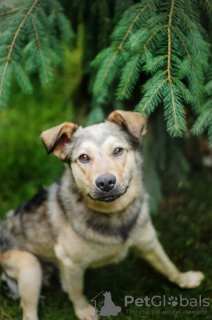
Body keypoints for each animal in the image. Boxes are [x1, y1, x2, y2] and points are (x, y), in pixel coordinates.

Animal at [0, 110, 205, 320]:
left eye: (118, 150)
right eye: (83, 157)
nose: (106, 182)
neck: (114, 213)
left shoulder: (148, 242)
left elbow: (168, 265)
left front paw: (184, 279)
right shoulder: (69, 262)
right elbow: (77, 291)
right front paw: (83, 310)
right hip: (29, 265)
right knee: (29, 309)